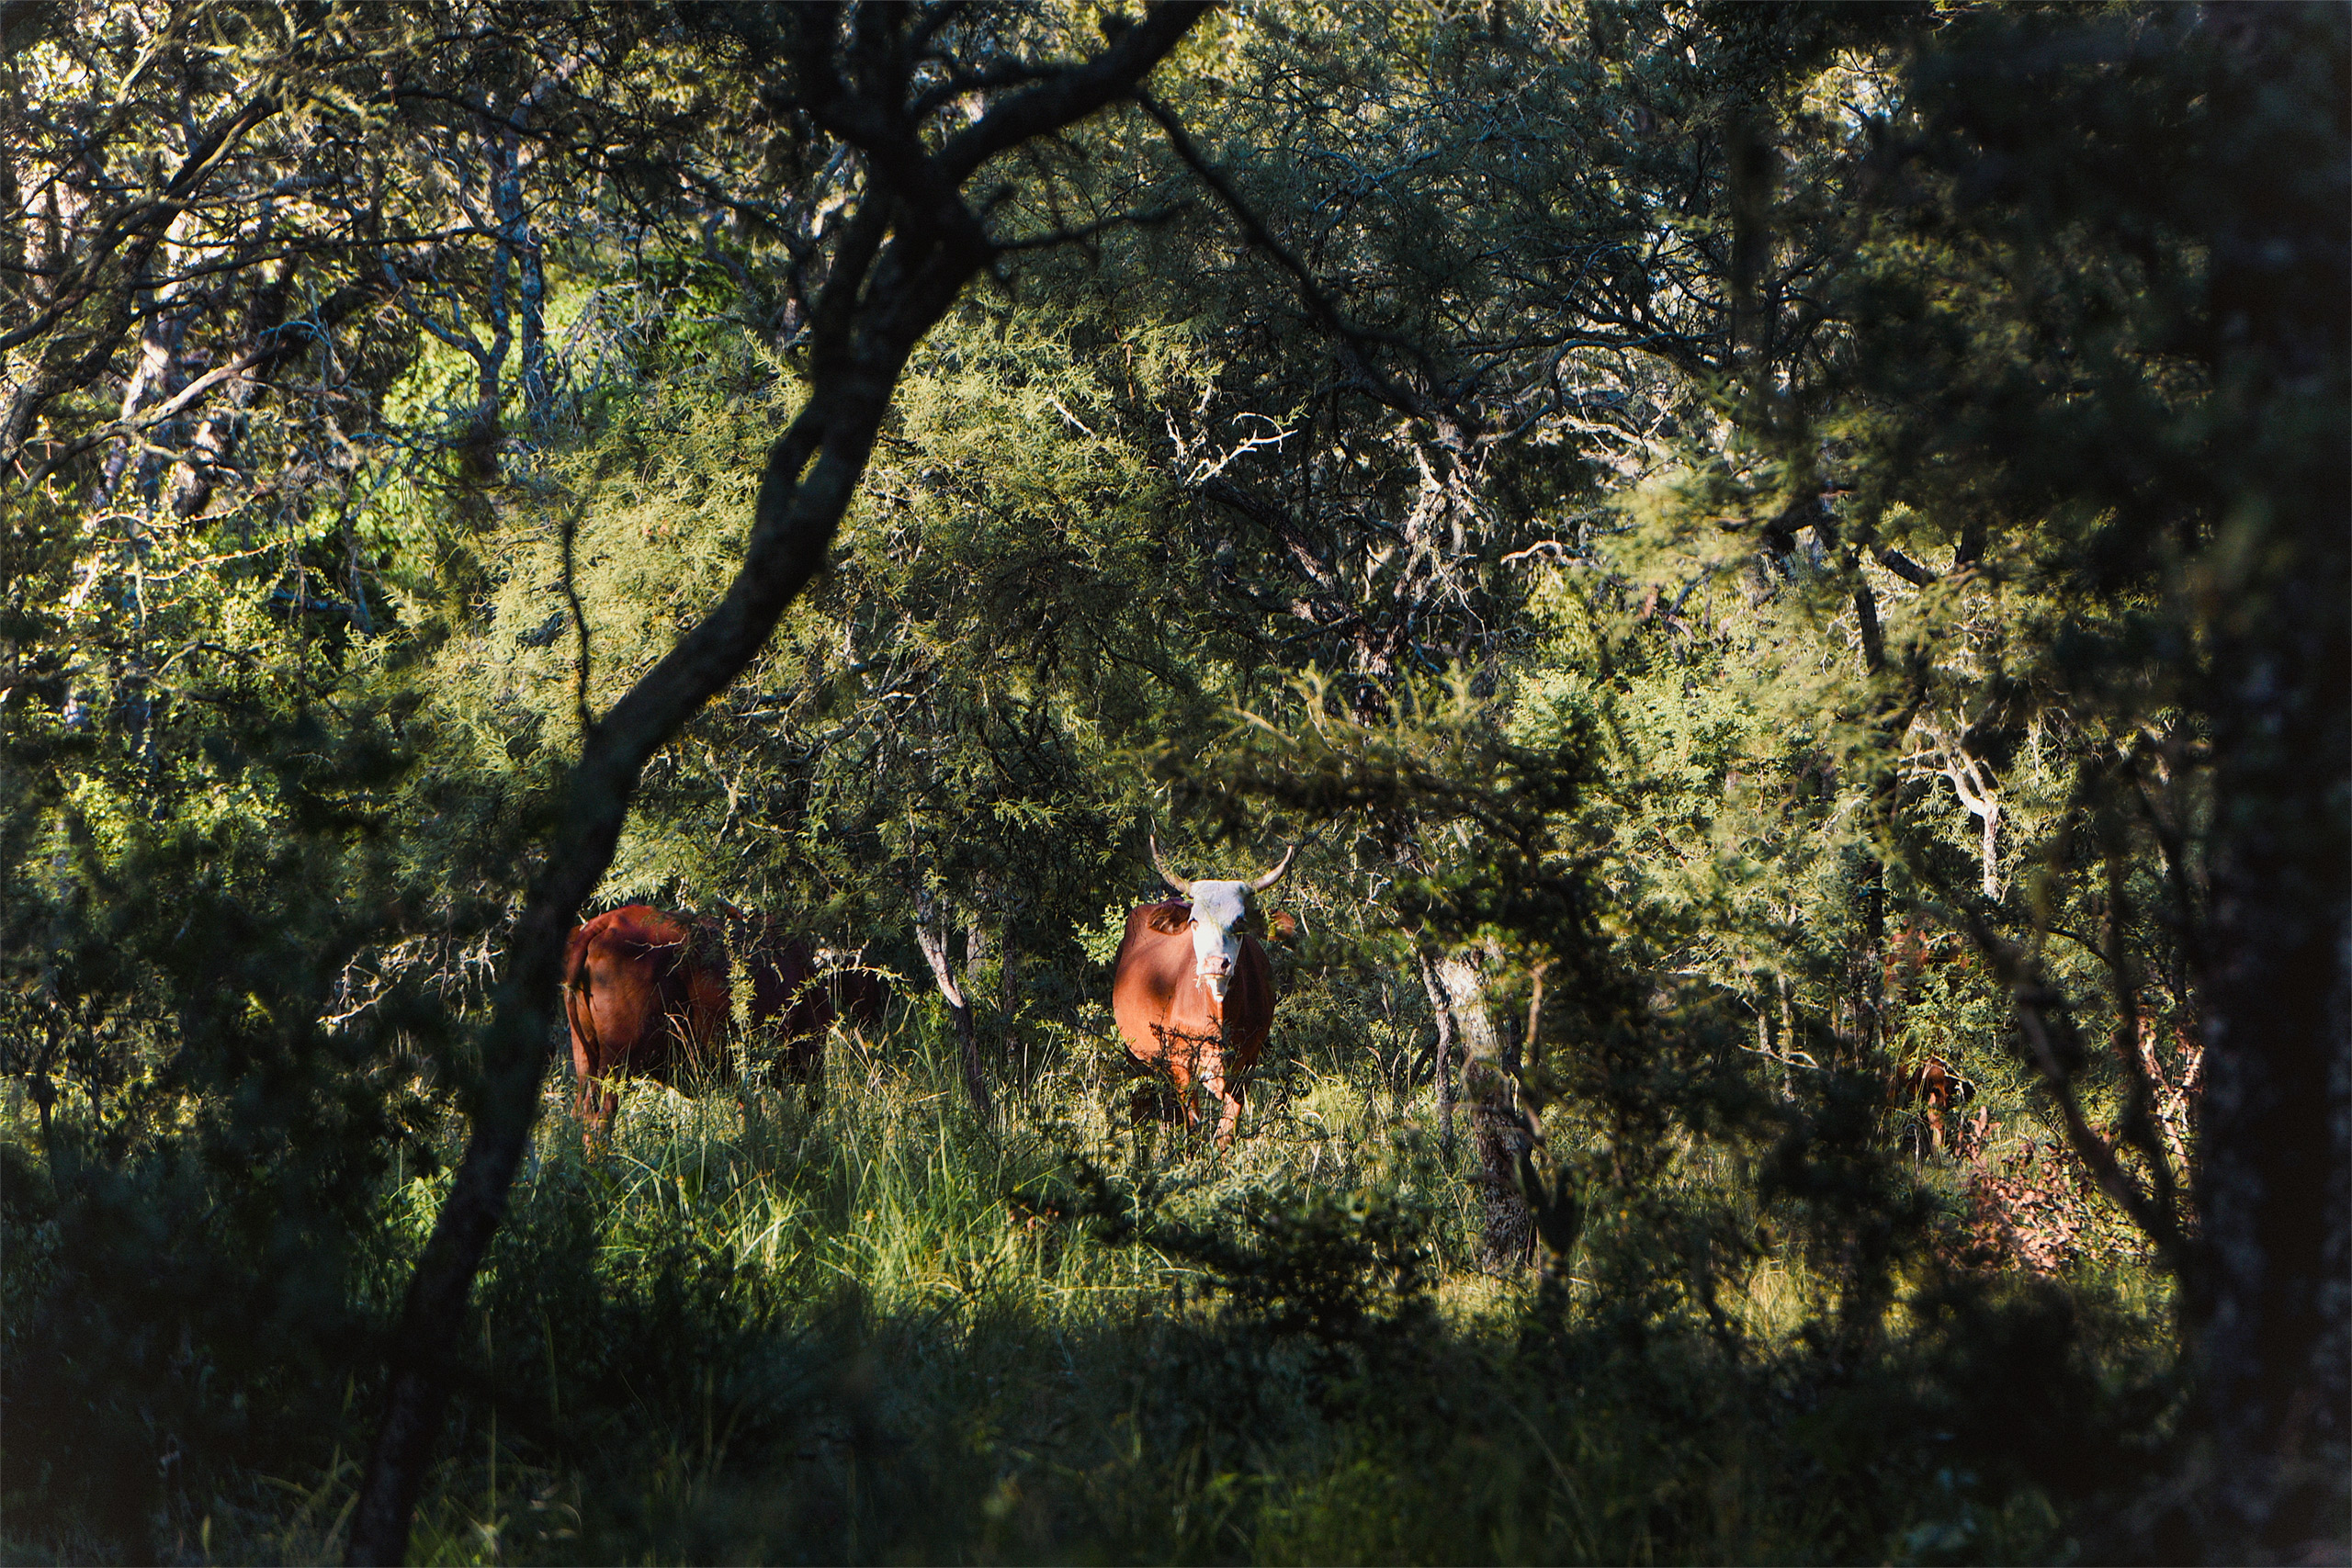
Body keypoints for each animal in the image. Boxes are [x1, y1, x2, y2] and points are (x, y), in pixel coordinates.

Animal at [1110, 835, 1296, 1147]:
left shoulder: (1247, 1063)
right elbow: (1193, 1127)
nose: (1214, 963)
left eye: (1240, 921)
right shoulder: (1181, 1061)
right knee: (1140, 1108)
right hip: (1135, 1054)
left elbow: (1225, 1133)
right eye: (1194, 921)